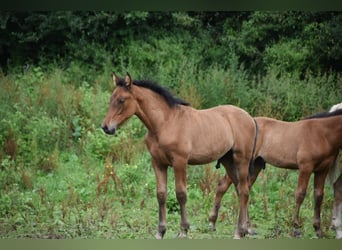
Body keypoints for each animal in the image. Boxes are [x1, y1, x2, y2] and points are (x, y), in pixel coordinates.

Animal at [101, 72, 256, 238]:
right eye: (111, 99)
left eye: (121, 100)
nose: (106, 127)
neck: (165, 123)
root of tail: (250, 118)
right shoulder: (158, 163)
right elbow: (161, 194)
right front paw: (160, 231)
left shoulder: (179, 162)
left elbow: (181, 194)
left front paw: (183, 230)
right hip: (228, 161)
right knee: (240, 189)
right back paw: (246, 228)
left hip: (241, 160)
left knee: (244, 190)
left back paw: (240, 231)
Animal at [208, 108, 342, 238]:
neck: (322, 134)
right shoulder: (306, 167)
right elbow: (300, 194)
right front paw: (295, 228)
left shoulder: (322, 169)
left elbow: (319, 196)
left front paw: (318, 230)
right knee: (225, 186)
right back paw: (213, 223)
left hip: (255, 166)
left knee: (241, 188)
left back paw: (245, 227)